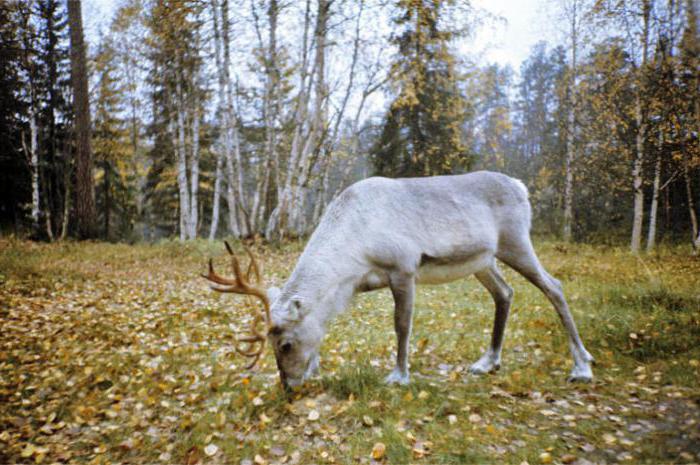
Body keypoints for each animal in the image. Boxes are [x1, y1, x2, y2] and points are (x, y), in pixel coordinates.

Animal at [205, 170, 592, 388]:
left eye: (285, 344)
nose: (288, 386)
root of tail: (520, 186)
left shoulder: (404, 267)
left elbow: (402, 325)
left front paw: (399, 376)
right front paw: (316, 368)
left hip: (516, 242)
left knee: (554, 287)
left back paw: (582, 365)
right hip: (482, 261)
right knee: (505, 293)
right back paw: (487, 362)